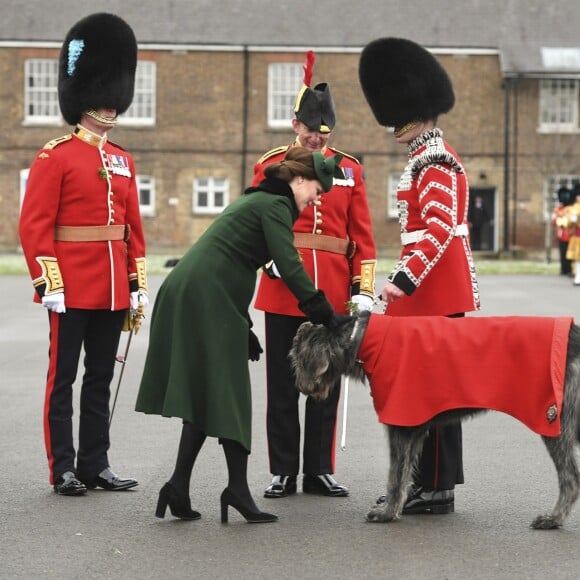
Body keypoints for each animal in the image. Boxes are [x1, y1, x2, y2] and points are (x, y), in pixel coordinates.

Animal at [288, 312, 580, 532]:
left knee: (570, 478)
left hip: (555, 420)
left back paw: (552, 519)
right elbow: (405, 473)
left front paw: (386, 512)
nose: (301, 387)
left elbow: (395, 475)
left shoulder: (400, 424)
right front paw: (398, 506)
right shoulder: (415, 424)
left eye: (299, 359)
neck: (363, 338)